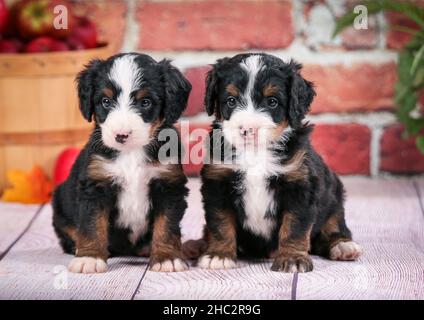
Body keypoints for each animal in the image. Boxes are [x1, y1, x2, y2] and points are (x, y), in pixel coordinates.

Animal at [52, 52, 191, 272]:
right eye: (106, 101)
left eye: (145, 102)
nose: (121, 135)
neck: (130, 153)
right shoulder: (96, 185)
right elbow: (91, 225)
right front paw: (89, 258)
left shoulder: (168, 185)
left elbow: (167, 226)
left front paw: (167, 258)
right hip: (60, 204)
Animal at [197, 53, 362, 272]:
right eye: (231, 101)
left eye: (272, 102)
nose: (247, 129)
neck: (256, 153)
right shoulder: (218, 183)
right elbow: (220, 222)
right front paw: (219, 255)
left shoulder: (299, 186)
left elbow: (294, 227)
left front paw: (292, 258)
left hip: (333, 197)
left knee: (334, 225)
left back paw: (343, 246)